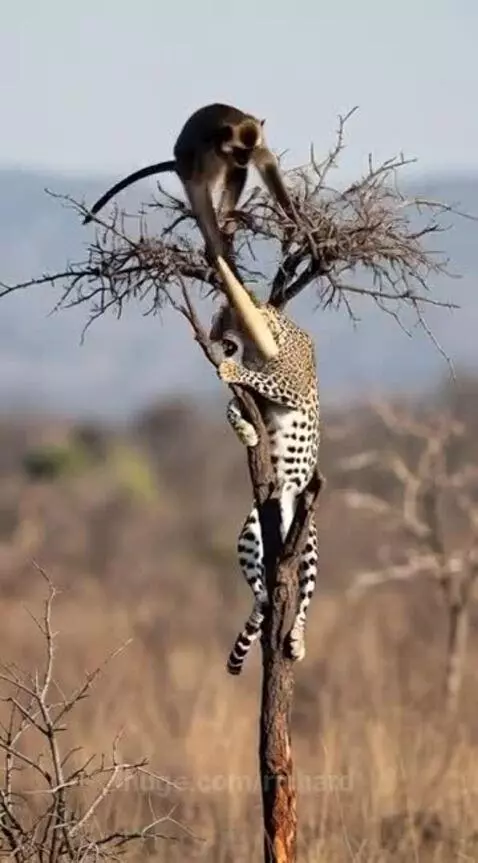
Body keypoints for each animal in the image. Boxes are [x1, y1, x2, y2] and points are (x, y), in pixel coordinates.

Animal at [82, 103, 299, 271]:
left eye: (250, 150)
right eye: (240, 150)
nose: (245, 159)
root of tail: (178, 163)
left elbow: (267, 163)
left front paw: (292, 221)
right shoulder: (210, 149)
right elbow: (203, 187)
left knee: (237, 172)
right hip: (192, 164)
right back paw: (224, 218)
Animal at [209, 299, 320, 675]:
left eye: (222, 320)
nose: (212, 338)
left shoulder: (290, 385)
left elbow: (260, 379)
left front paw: (230, 369)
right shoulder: (253, 400)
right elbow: (231, 407)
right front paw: (247, 432)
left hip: (307, 538)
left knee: (304, 598)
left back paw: (298, 639)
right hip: (248, 533)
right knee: (259, 591)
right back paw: (260, 612)